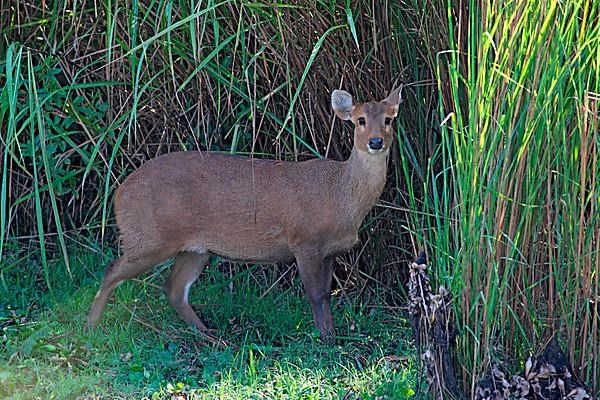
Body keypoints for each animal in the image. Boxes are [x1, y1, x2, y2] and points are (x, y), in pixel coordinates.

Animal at [88, 86, 404, 342]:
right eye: (360, 120)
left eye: (389, 119)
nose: (376, 141)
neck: (338, 195)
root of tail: (119, 194)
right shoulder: (304, 241)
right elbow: (315, 294)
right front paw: (324, 340)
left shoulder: (330, 251)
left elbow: (326, 294)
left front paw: (334, 336)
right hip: (149, 238)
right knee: (112, 270)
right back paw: (90, 328)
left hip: (194, 249)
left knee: (174, 288)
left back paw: (208, 334)